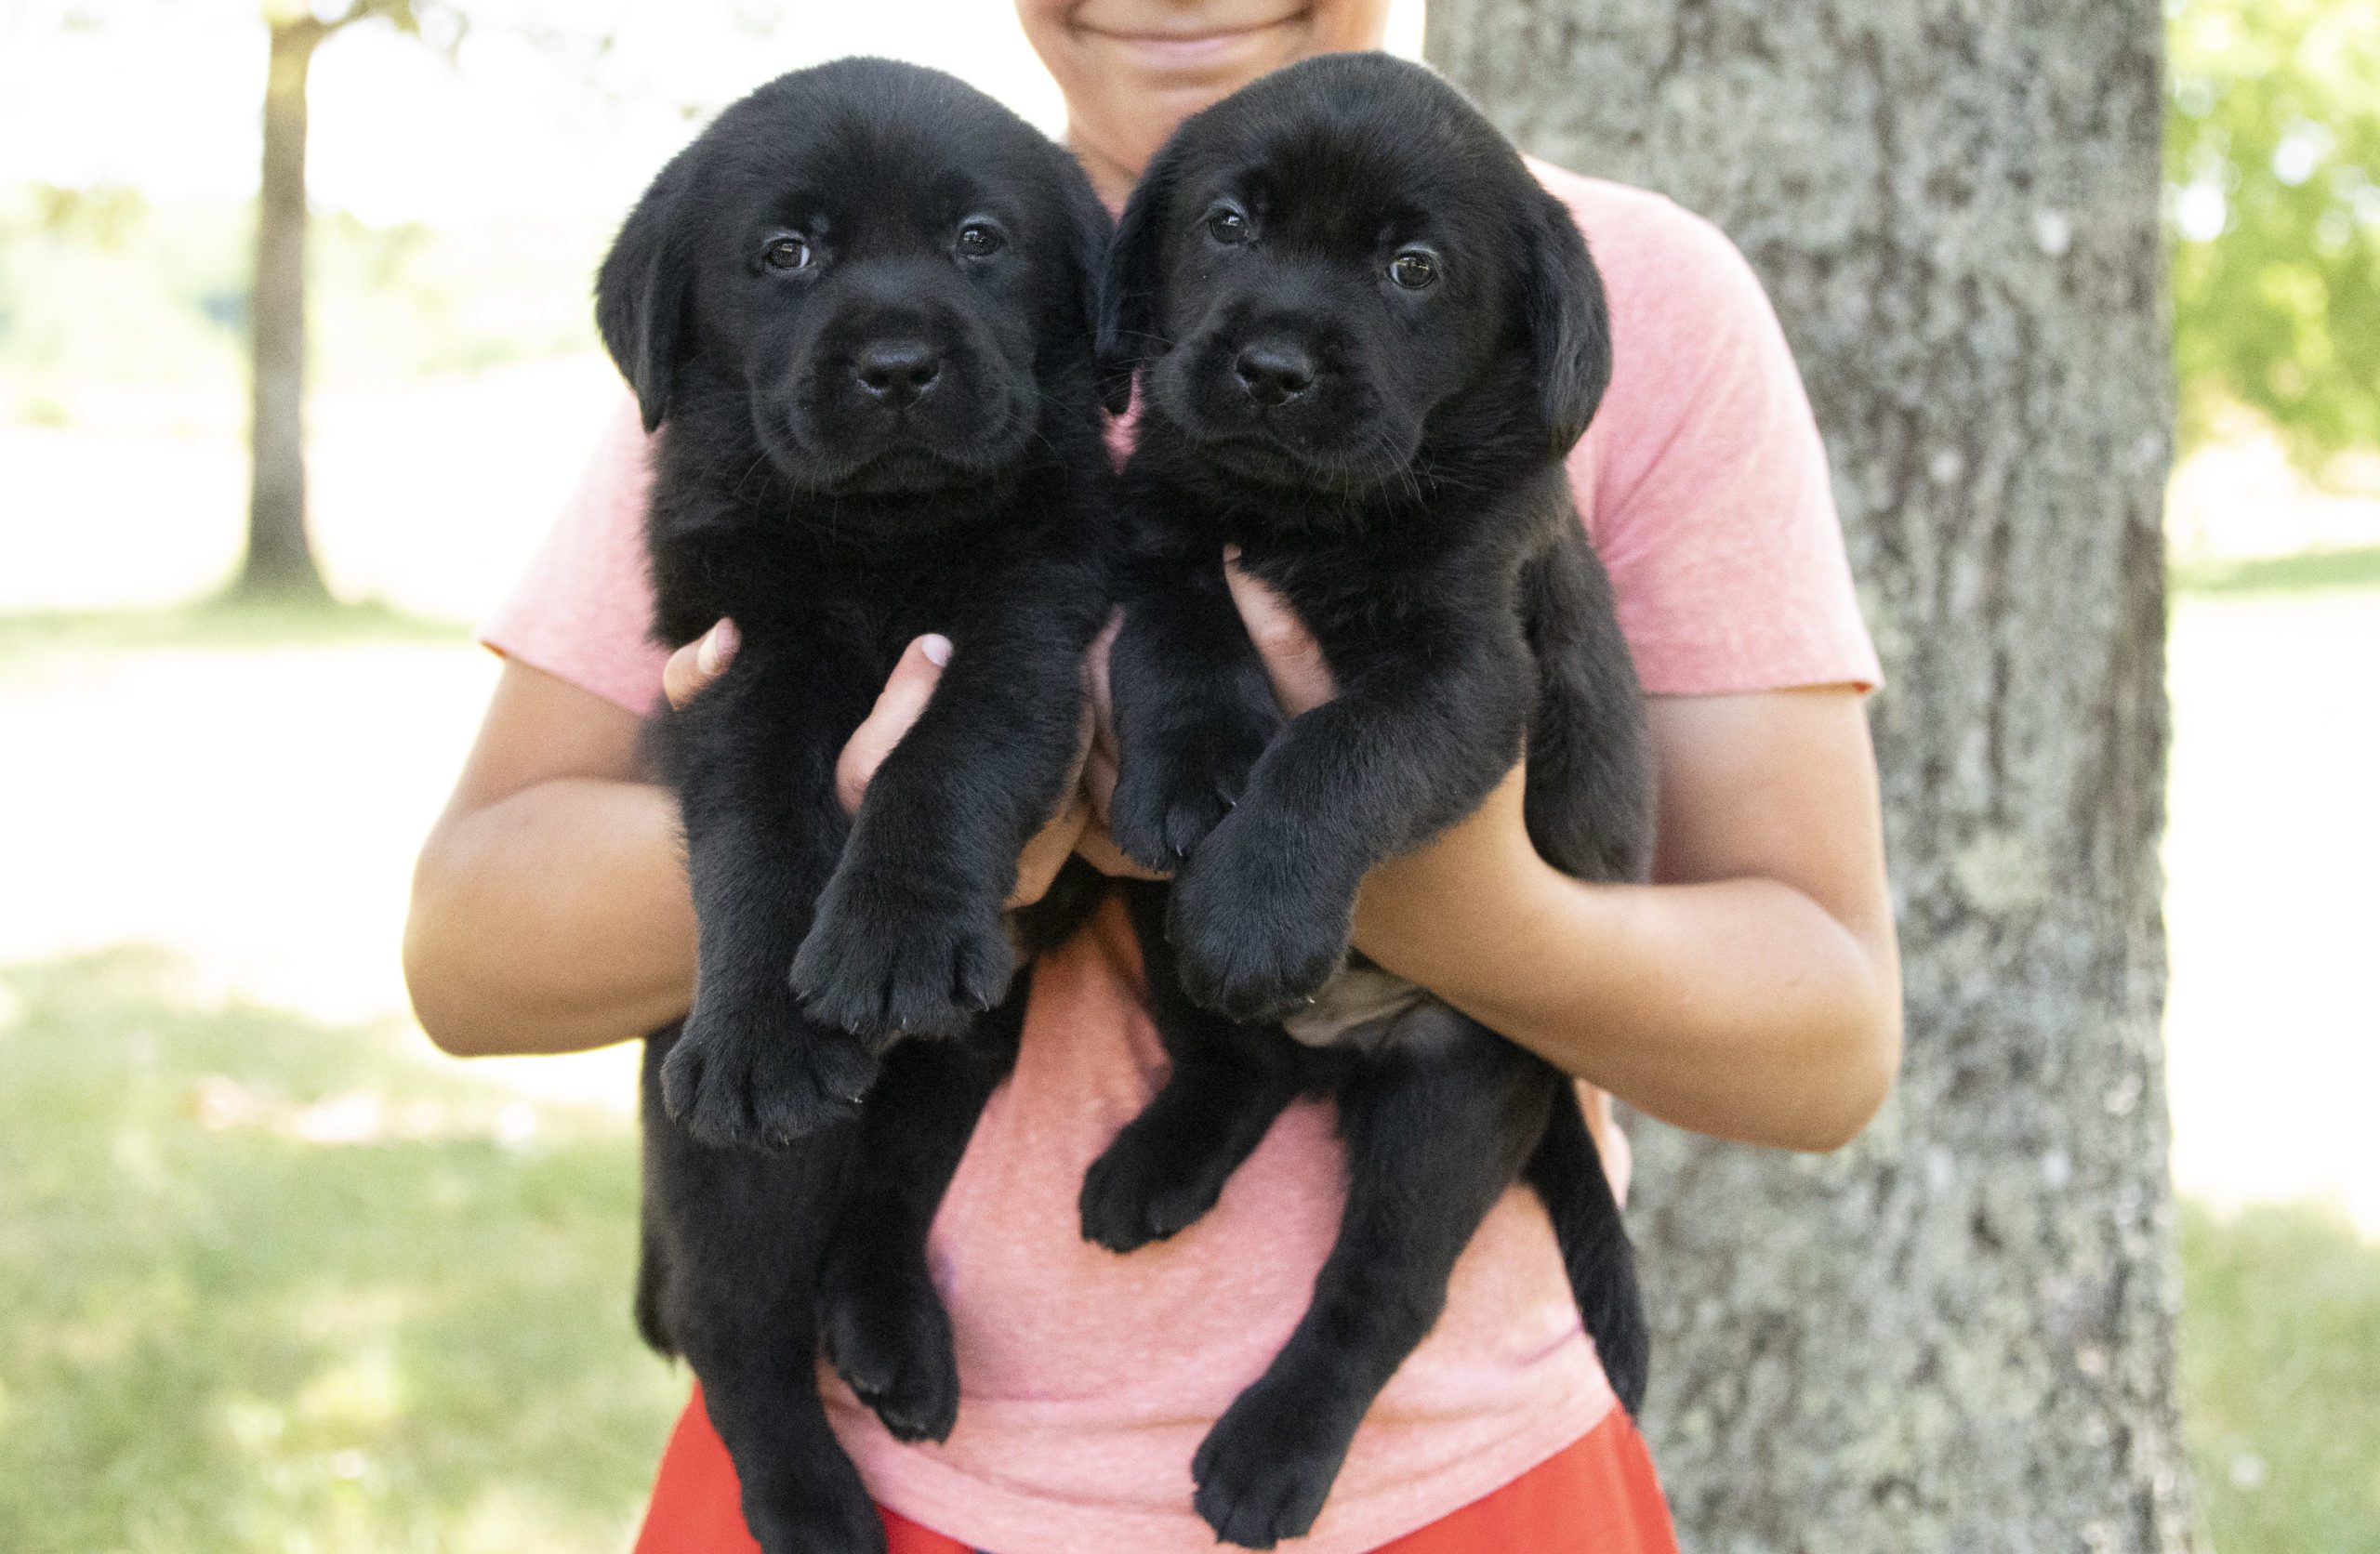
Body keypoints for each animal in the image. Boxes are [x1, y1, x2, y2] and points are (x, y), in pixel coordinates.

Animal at [595, 60, 1114, 1551]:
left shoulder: (1038, 602)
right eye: (787, 254)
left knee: (881, 1197)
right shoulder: (737, 652)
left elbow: (953, 745)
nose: (896, 369)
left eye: (979, 241)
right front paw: (765, 1024)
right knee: (728, 1316)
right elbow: (760, 826)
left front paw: (890, 932)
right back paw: (810, 1498)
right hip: (724, 1148)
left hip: (968, 1040)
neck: (886, 540)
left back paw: (893, 1338)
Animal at [1090, 54, 1646, 1542]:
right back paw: (1155, 1164)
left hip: (1457, 1086)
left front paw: (1258, 907)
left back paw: (1272, 1453)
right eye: (1228, 224)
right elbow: (1177, 617)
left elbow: (1334, 748)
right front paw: (1191, 769)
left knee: (1386, 1292)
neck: (1309, 517)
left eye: (1412, 268)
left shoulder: (1465, 673)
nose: (1272, 370)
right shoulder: (1154, 515)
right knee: (1241, 1064)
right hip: (1155, 934)